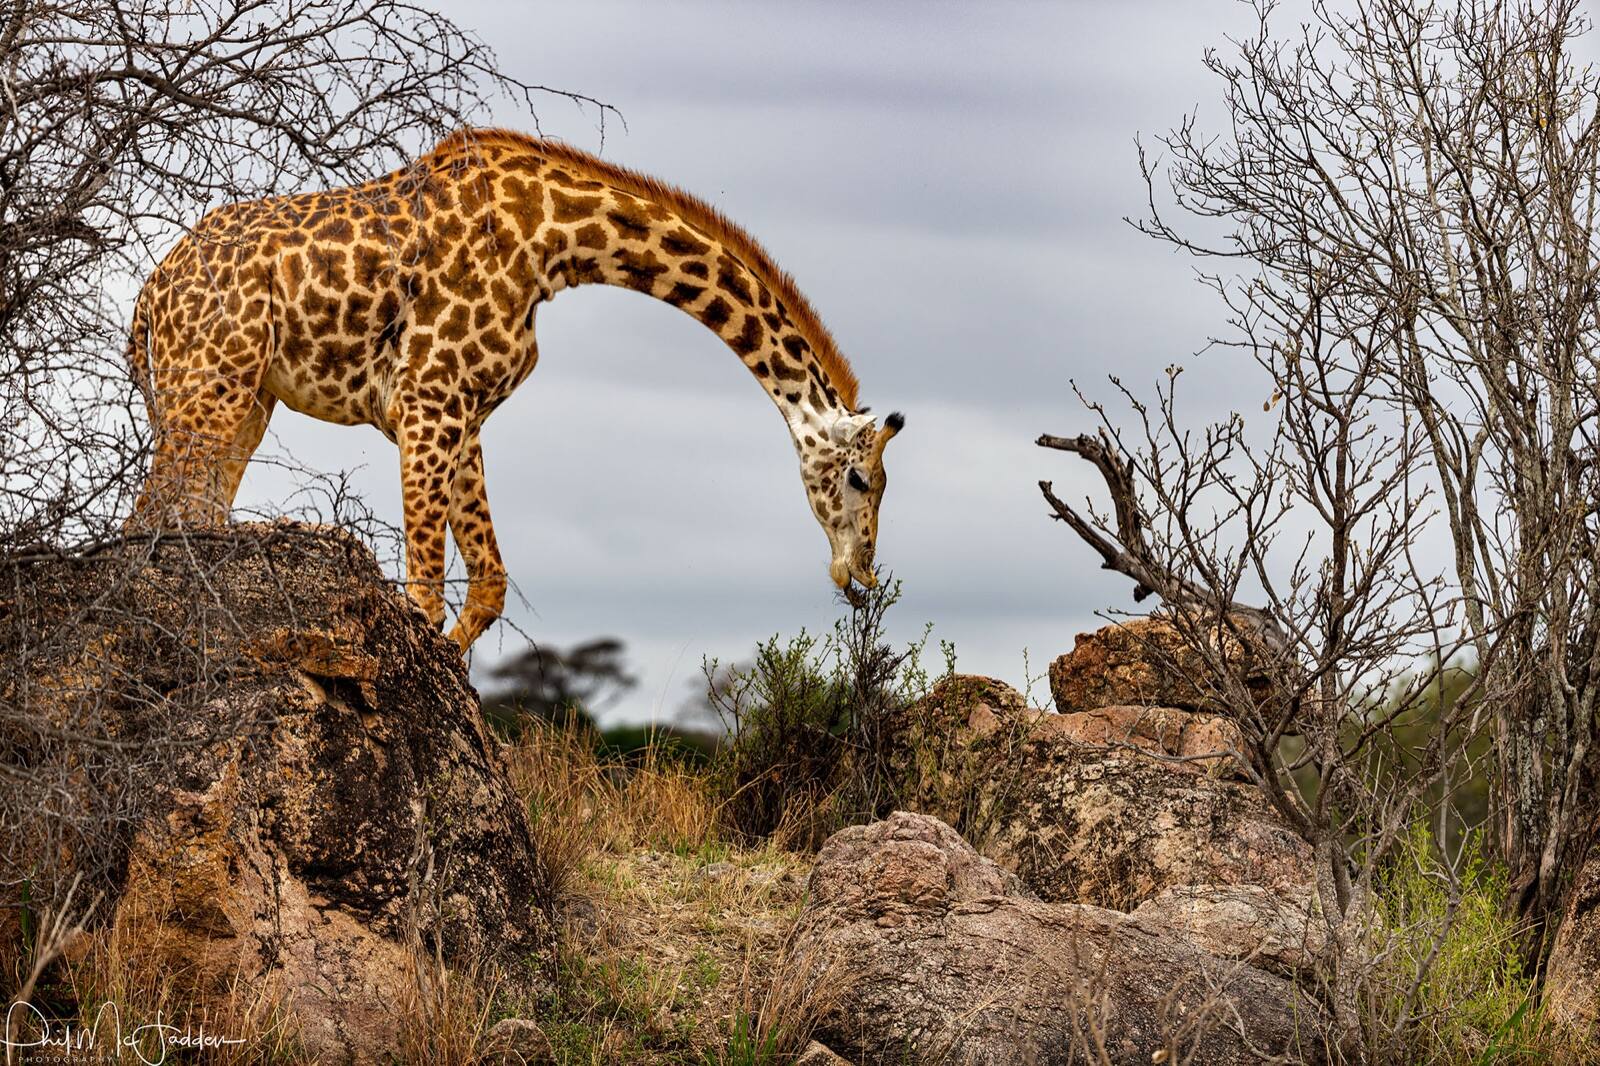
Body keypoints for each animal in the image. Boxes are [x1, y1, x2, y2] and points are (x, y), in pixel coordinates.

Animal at [125, 128, 904, 651]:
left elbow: (490, 584)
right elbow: (425, 595)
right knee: (149, 523)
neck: (552, 242)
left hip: (247, 399)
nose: (862, 575)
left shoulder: (462, 412)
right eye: (861, 479)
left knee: (190, 520)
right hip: (210, 383)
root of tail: (150, 292)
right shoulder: (428, 398)